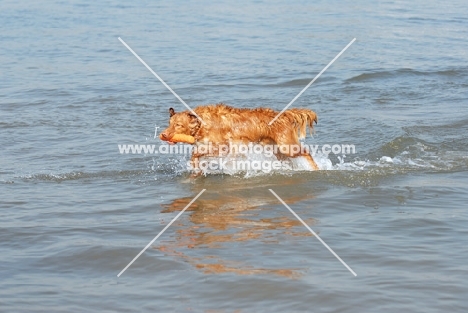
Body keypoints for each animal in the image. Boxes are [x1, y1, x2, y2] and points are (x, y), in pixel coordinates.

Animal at [160, 103, 318, 173]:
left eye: (179, 125)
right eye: (169, 123)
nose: (164, 135)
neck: (202, 124)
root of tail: (284, 114)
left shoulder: (225, 147)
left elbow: (196, 153)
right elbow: (196, 155)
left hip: (288, 147)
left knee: (306, 152)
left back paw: (316, 168)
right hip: (277, 150)